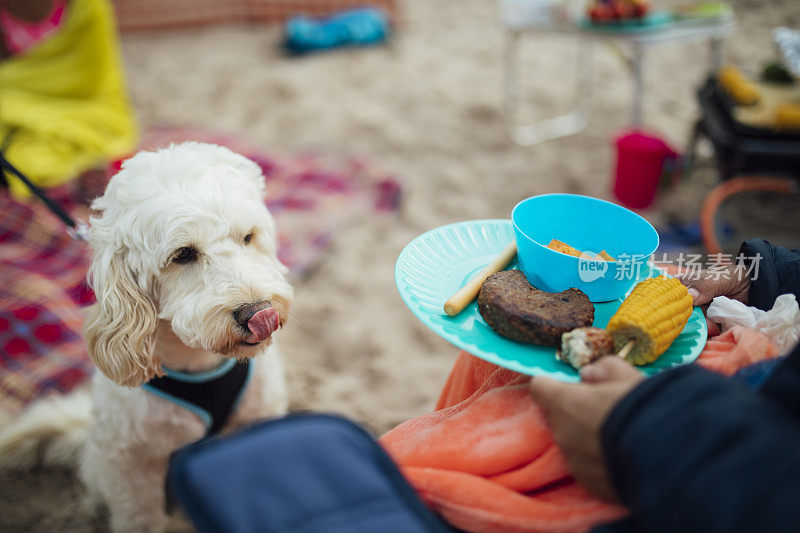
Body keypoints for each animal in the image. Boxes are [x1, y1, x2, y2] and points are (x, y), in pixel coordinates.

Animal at [0, 142, 294, 532]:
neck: (199, 362)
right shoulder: (131, 463)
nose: (259, 313)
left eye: (247, 237)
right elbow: (140, 517)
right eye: (183, 254)